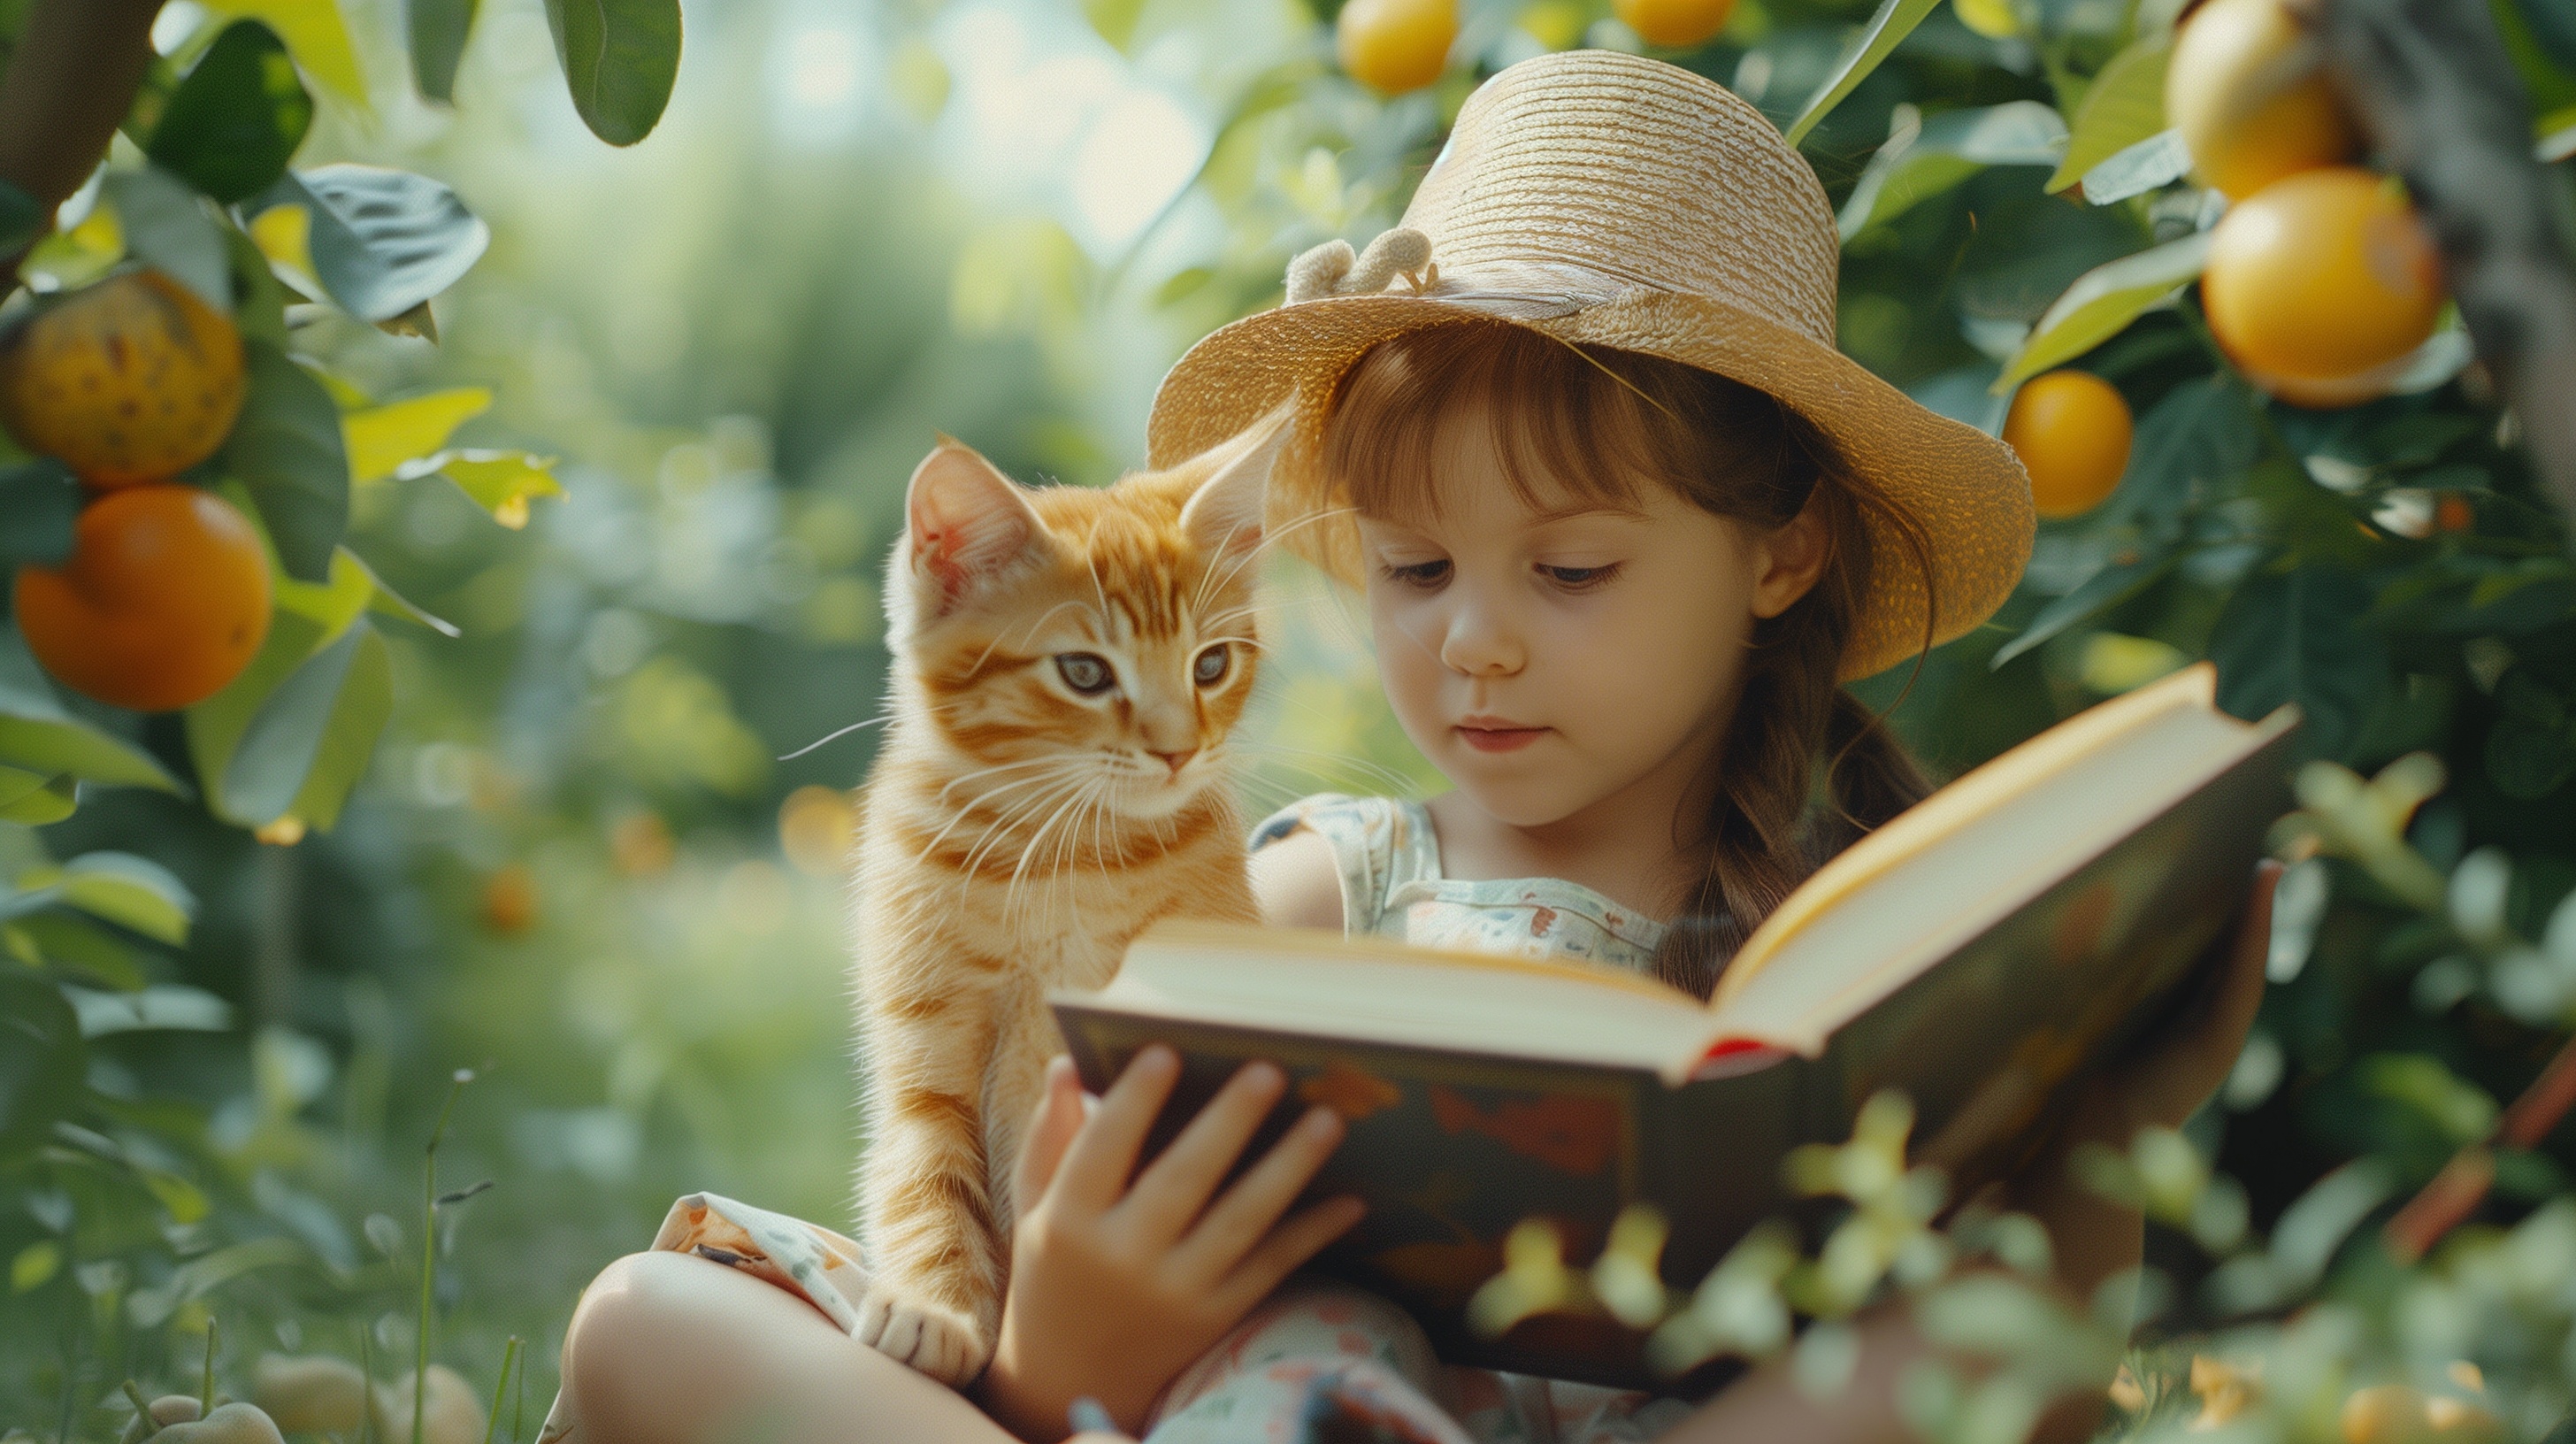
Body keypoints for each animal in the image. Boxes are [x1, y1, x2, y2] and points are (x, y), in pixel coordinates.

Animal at [845, 412, 1288, 1382]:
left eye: (1210, 665)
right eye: (1085, 673)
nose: (1177, 750)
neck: (1061, 854)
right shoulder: (922, 1042)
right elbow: (922, 1170)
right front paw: (932, 1307)